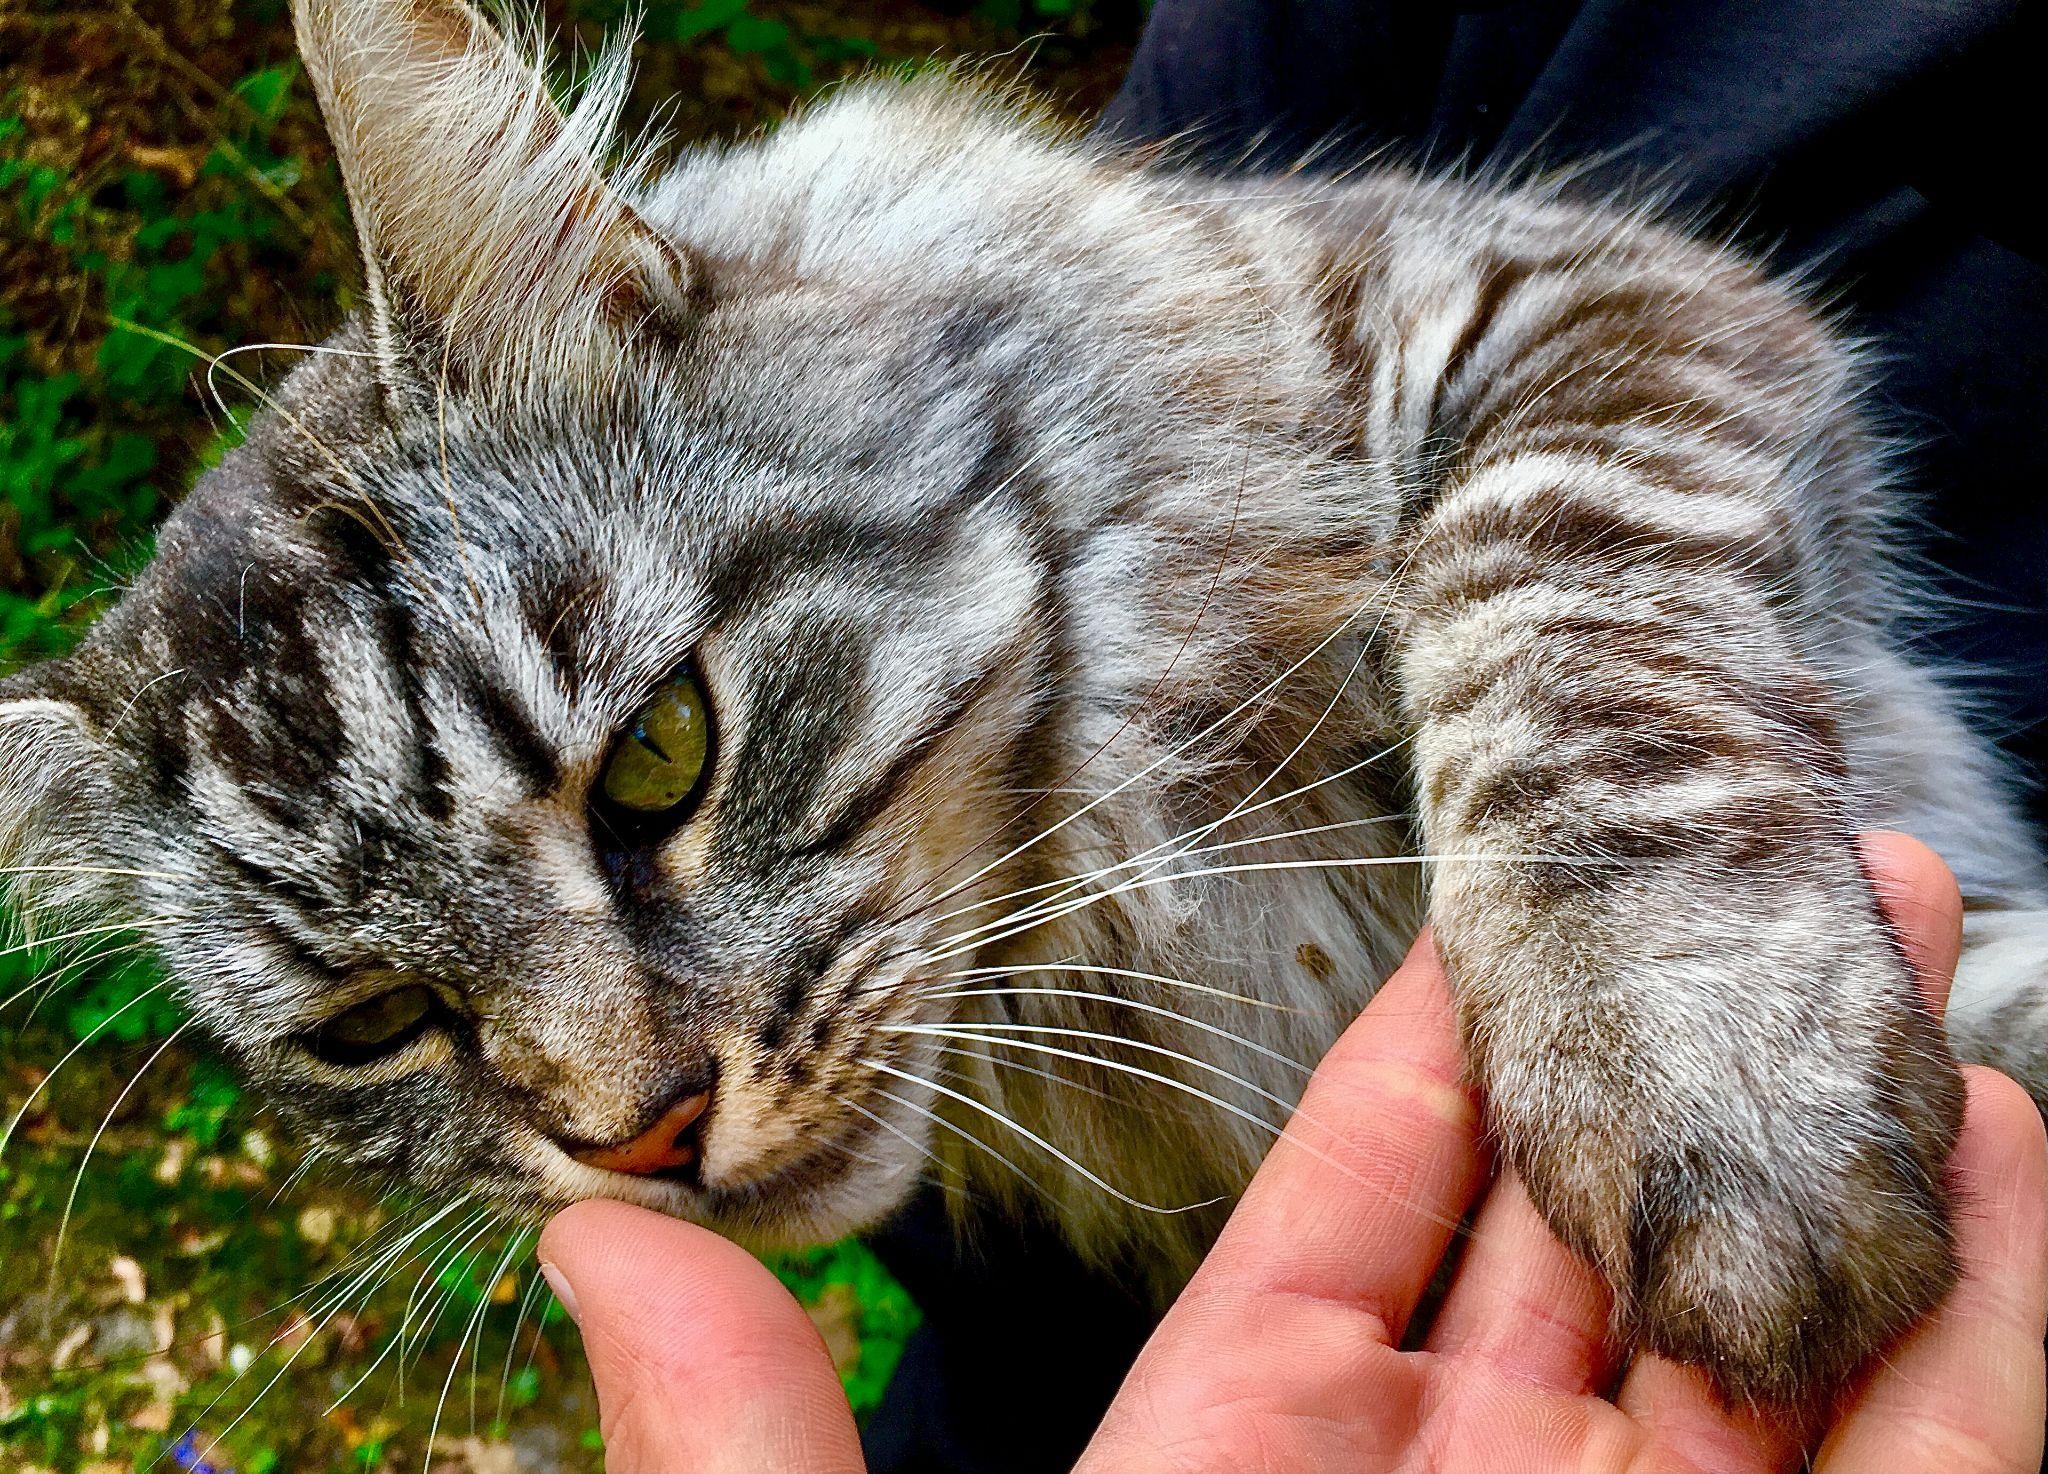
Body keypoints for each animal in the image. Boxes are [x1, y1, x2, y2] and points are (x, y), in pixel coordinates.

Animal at [4, 0, 2048, 1408]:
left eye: (660, 753)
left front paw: (1702, 1073)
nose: (642, 1137)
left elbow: (1566, 630)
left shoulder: (1571, 304)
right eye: (374, 1022)